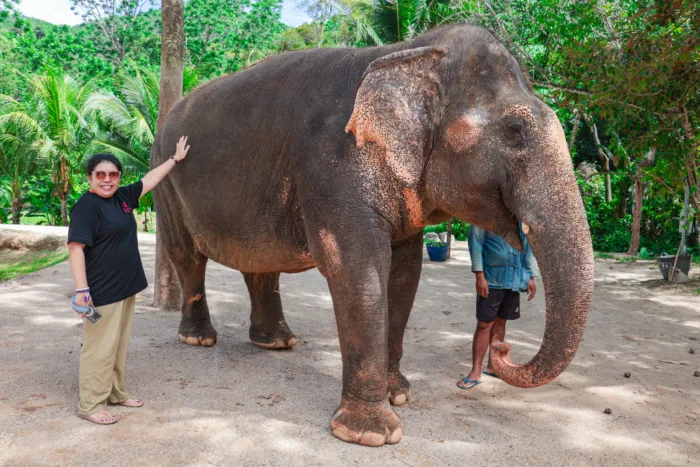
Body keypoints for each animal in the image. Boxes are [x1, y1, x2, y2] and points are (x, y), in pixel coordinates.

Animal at [151, 24, 594, 447]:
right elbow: (357, 273)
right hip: (165, 178)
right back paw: (199, 339)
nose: (504, 350)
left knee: (260, 264)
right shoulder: (334, 167)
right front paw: (370, 434)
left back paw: (275, 342)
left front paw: (398, 394)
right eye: (515, 129)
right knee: (188, 256)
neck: (407, 52)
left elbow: (405, 277)